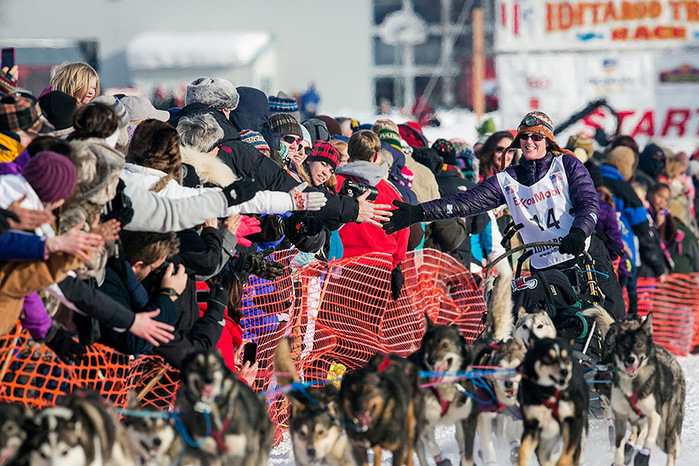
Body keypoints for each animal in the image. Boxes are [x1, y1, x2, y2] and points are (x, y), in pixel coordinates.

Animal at [516, 338, 588, 466]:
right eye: (549, 358)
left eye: (566, 358)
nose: (564, 371)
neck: (549, 393)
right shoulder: (532, 426)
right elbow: (523, 452)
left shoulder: (574, 421)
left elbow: (566, 457)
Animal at [608, 314, 688, 466]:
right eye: (624, 345)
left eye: (639, 344)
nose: (630, 359)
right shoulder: (621, 415)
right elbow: (619, 445)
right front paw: (621, 457)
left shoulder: (654, 415)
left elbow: (649, 438)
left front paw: (642, 455)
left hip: (666, 429)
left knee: (671, 449)